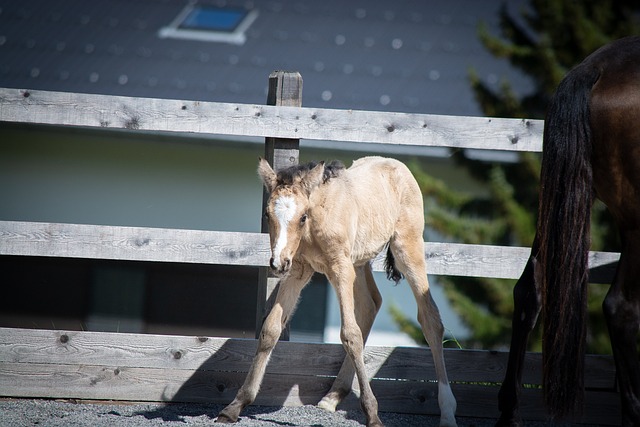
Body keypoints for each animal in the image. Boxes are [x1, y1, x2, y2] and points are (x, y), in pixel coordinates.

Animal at [218, 157, 458, 427]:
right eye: (267, 215)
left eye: (302, 217)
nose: (278, 263)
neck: (316, 222)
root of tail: (397, 164)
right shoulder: (298, 269)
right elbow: (270, 329)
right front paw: (235, 405)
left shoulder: (339, 268)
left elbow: (350, 335)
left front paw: (373, 414)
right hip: (359, 261)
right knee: (370, 304)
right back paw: (332, 396)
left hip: (407, 247)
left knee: (430, 319)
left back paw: (448, 411)